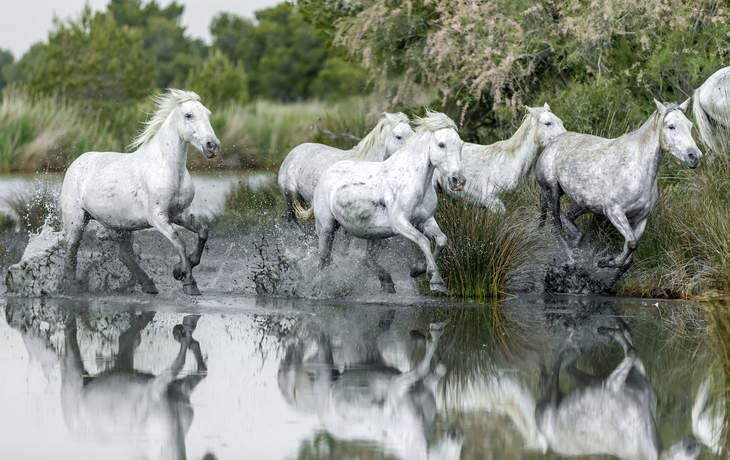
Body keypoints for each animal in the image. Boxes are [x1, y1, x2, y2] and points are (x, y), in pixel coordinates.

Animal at [59, 89, 220, 296]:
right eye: (188, 115)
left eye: (208, 114)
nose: (212, 146)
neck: (166, 169)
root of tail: (76, 162)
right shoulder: (157, 217)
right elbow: (179, 242)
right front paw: (189, 283)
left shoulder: (179, 214)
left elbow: (203, 232)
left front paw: (180, 270)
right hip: (76, 221)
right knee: (71, 251)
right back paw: (71, 286)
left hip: (122, 224)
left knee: (124, 255)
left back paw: (148, 284)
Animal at [298, 111, 465, 294]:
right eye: (441, 145)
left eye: (461, 145)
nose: (458, 181)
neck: (414, 180)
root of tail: (325, 173)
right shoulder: (400, 223)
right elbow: (423, 241)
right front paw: (436, 280)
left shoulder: (424, 220)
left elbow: (441, 240)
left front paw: (418, 270)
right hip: (326, 228)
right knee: (324, 260)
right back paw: (320, 286)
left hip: (374, 233)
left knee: (366, 259)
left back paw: (386, 281)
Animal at [536, 99, 701, 278]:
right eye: (671, 126)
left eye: (690, 125)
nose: (695, 157)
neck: (636, 169)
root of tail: (551, 144)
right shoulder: (614, 212)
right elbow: (632, 244)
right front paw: (604, 262)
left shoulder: (640, 219)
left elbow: (629, 254)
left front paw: (610, 269)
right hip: (552, 191)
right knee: (556, 227)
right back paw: (572, 259)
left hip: (584, 203)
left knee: (567, 217)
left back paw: (577, 245)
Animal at [536, 321, 700, 460]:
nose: (695, 444)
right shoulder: (611, 384)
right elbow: (631, 348)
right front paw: (611, 330)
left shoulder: (620, 378)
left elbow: (630, 342)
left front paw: (608, 330)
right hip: (550, 400)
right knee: (555, 368)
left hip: (586, 381)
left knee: (566, 365)